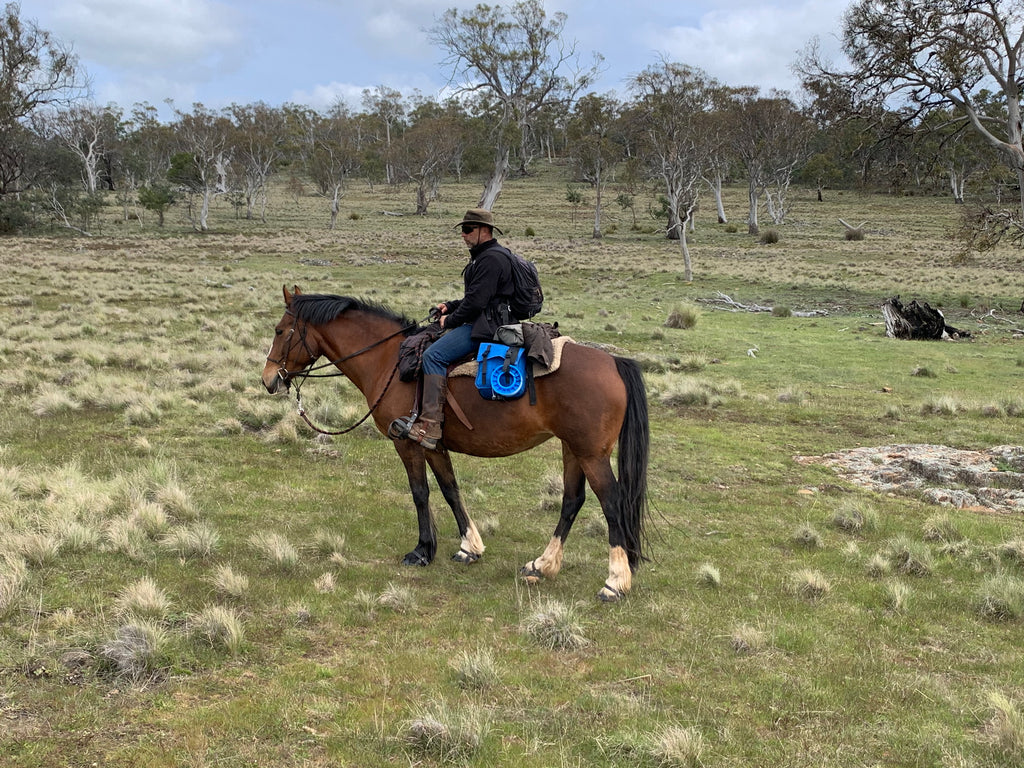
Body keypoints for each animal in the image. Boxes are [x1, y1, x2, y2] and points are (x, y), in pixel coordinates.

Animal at [264, 286, 647, 602]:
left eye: (280, 331)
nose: (269, 379)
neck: (388, 360)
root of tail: (613, 361)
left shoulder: (407, 444)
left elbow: (420, 492)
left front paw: (422, 551)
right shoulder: (433, 443)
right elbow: (450, 489)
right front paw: (469, 547)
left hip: (591, 454)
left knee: (612, 503)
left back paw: (614, 582)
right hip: (572, 449)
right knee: (572, 500)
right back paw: (542, 565)